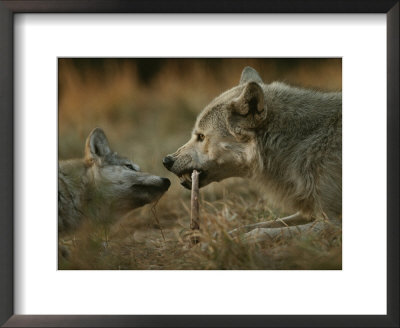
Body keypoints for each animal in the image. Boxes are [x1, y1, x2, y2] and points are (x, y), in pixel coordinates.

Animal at [162, 66, 340, 241]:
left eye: (201, 136)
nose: (166, 160)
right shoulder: (307, 213)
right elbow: (251, 225)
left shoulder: (333, 222)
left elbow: (260, 231)